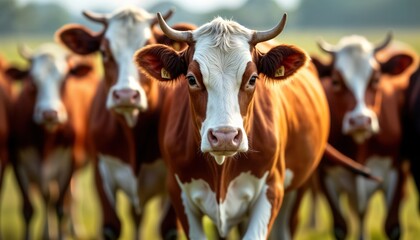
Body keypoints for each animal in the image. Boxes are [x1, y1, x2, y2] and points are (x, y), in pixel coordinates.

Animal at [6, 43, 99, 240]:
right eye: (32, 82)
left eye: (64, 80)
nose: (49, 113)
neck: (46, 139)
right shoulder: (19, 163)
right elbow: (29, 209)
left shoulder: (69, 163)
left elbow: (61, 207)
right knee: (48, 197)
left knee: (71, 196)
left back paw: (73, 229)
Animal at [55, 6, 197, 240]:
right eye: (104, 52)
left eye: (145, 50)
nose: (125, 95)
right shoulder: (101, 172)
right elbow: (111, 227)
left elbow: (169, 229)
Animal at [312, 34, 416, 240]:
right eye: (335, 81)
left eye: (376, 79)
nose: (360, 120)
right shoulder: (327, 176)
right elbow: (340, 228)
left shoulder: (397, 171)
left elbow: (393, 228)